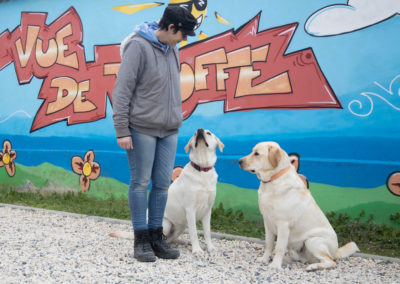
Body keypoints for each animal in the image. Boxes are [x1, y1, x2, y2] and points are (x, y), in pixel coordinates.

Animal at [238, 142, 360, 270]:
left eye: (256, 153)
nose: (239, 161)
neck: (273, 179)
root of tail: (335, 251)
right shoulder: (267, 222)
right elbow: (269, 244)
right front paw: (264, 259)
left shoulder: (283, 225)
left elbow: (279, 247)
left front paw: (275, 265)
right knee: (300, 258)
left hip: (313, 241)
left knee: (330, 261)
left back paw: (313, 267)